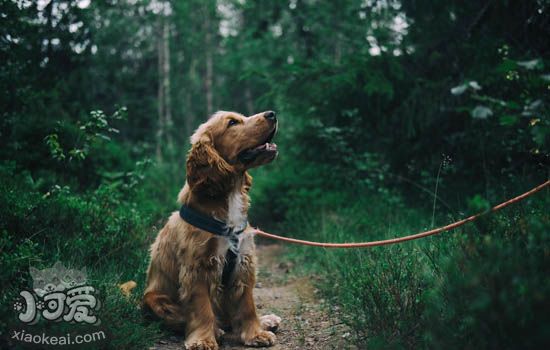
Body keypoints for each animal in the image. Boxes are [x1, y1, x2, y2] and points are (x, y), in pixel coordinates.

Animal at [144, 110, 282, 348]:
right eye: (232, 122)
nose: (272, 113)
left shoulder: (244, 262)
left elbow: (247, 305)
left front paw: (256, 333)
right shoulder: (197, 267)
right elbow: (202, 309)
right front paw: (203, 340)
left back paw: (266, 321)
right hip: (155, 300)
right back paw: (217, 330)